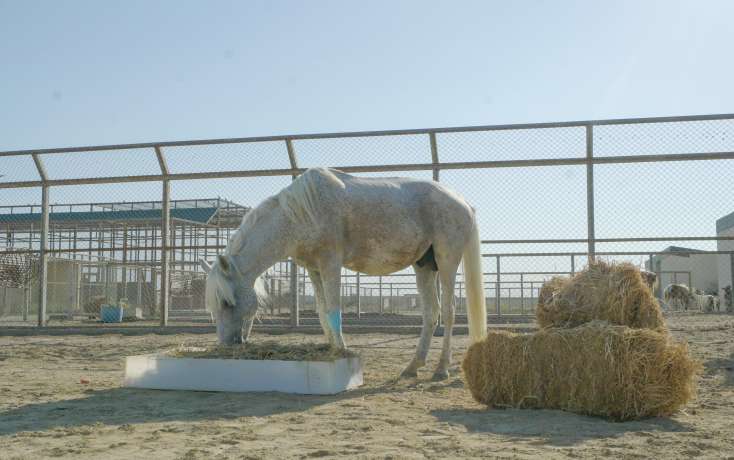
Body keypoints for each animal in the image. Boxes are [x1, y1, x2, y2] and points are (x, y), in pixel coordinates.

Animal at [201, 167, 488, 380]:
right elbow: (321, 311)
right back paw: (413, 367)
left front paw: (341, 351)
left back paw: (441, 369)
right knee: (431, 312)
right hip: (424, 266)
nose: (226, 345)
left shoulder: (331, 264)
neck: (299, 214)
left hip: (447, 261)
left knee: (449, 311)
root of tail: (463, 203)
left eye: (227, 301)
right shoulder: (314, 269)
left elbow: (333, 308)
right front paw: (331, 348)